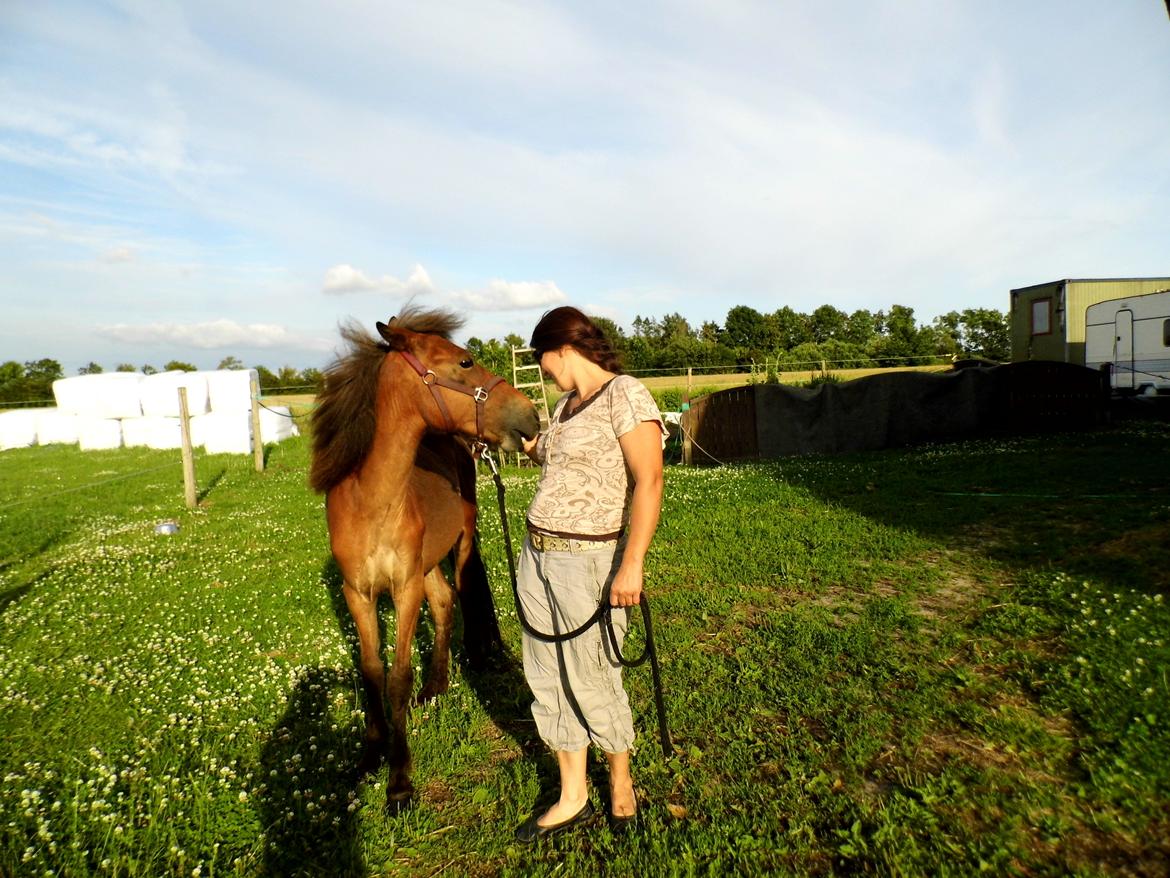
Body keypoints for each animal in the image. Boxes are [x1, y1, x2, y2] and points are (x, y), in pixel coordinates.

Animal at [306, 309, 535, 810]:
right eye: (465, 361)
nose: (530, 414)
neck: (370, 503)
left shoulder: (405, 587)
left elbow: (397, 676)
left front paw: (399, 781)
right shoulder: (359, 594)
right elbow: (372, 670)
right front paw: (371, 755)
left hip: (460, 545)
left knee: (461, 596)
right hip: (430, 563)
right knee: (446, 601)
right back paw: (437, 686)